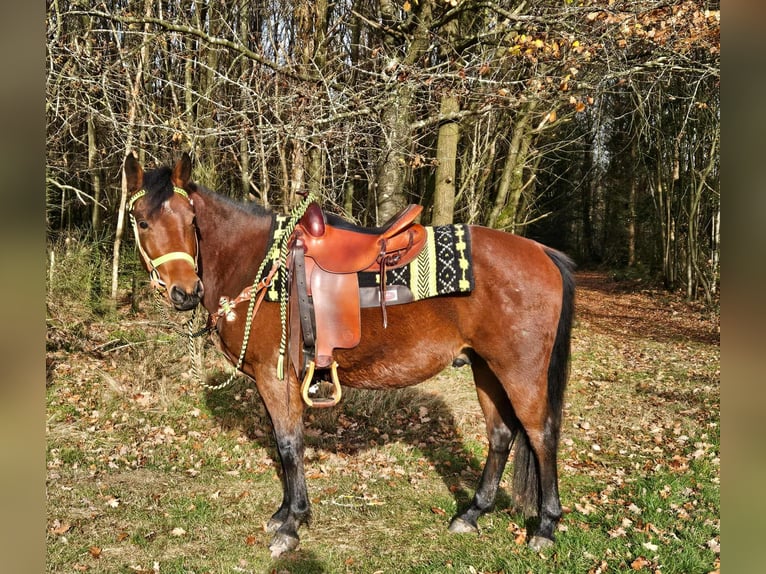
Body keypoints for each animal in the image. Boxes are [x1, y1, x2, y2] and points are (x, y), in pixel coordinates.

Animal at [123, 152, 575, 557]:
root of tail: (542, 253)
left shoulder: (275, 377)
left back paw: (546, 527)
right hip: (486, 368)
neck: (256, 265)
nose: (185, 292)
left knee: (541, 435)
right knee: (501, 435)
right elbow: (283, 445)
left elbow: (289, 445)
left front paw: (292, 524)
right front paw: (285, 513)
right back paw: (472, 513)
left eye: (191, 221)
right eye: (143, 222)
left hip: (519, 372)